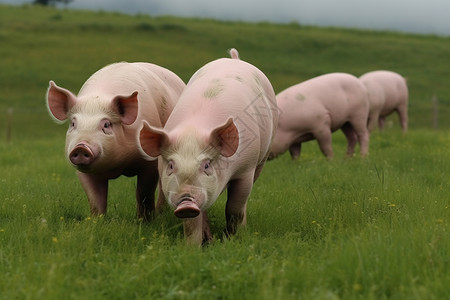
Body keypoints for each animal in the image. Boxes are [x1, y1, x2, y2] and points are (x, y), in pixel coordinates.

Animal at [45, 61, 185, 220]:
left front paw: (144, 221)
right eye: (73, 124)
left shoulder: (149, 162)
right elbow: (95, 199)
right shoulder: (83, 172)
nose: (81, 147)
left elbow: (144, 194)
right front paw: (97, 221)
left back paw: (161, 214)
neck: (119, 166)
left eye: (106, 125)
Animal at [137, 49, 278, 245]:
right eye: (171, 165)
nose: (186, 201)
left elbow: (234, 208)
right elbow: (192, 222)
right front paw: (194, 247)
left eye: (207, 165)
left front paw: (231, 240)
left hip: (263, 155)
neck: (195, 129)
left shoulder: (246, 168)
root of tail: (234, 60)